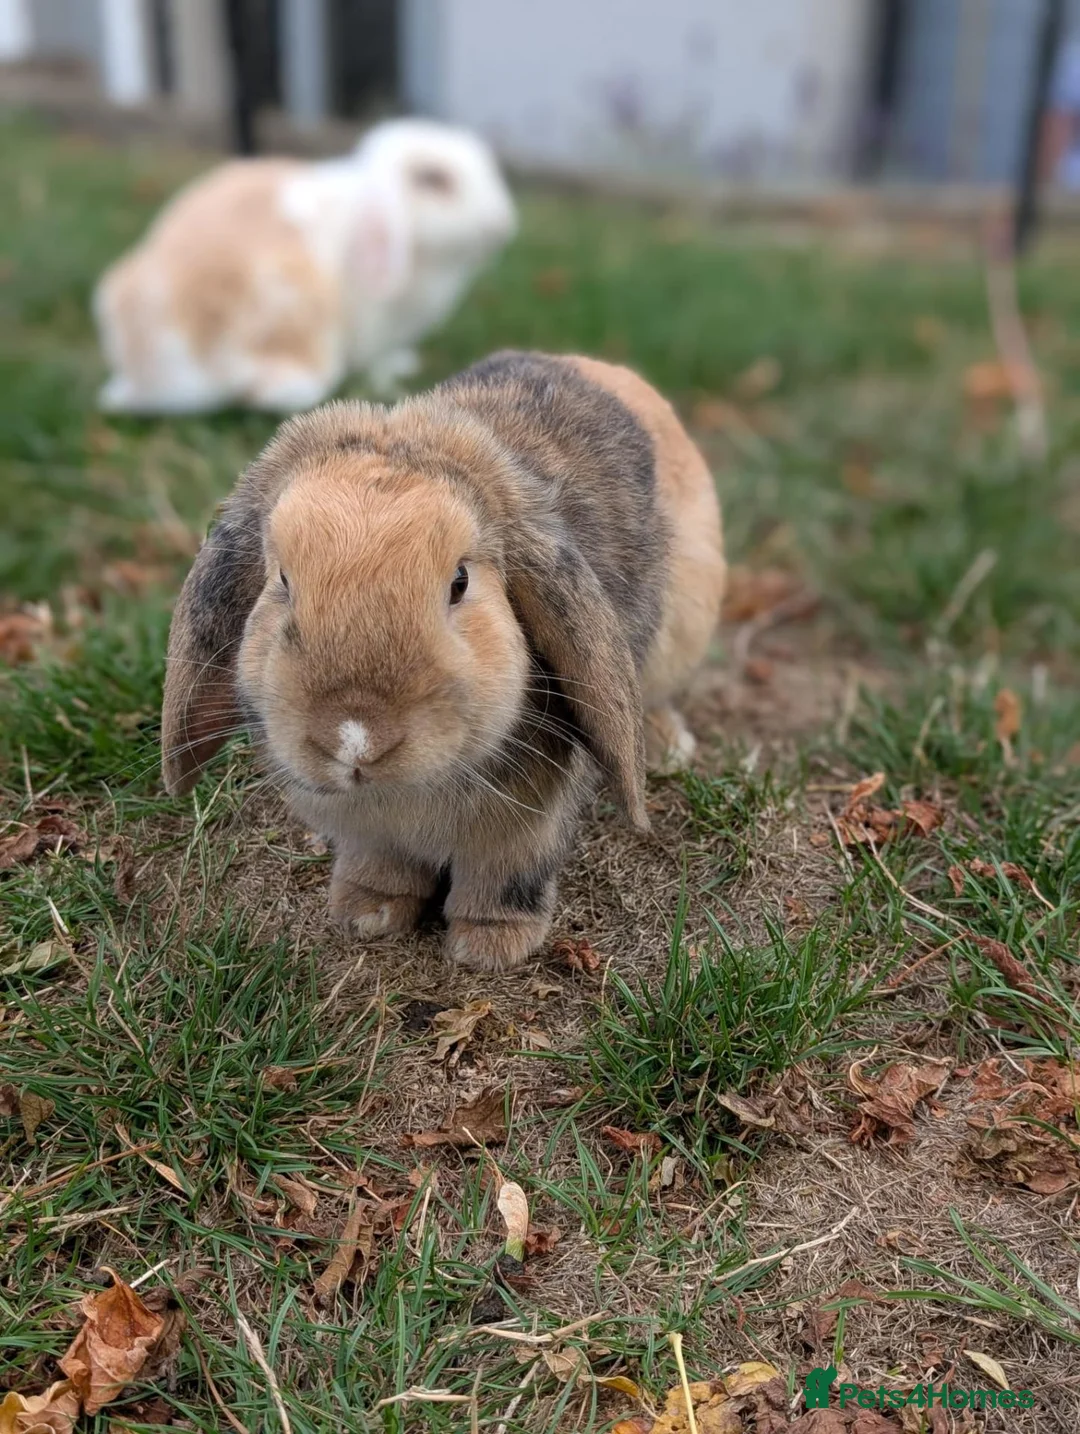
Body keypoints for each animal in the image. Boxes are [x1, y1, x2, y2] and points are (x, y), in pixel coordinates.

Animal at [160, 350, 726, 971]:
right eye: (282, 581)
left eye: (460, 582)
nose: (354, 737)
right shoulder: (370, 833)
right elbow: (382, 868)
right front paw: (368, 915)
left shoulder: (523, 829)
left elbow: (504, 879)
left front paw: (488, 947)